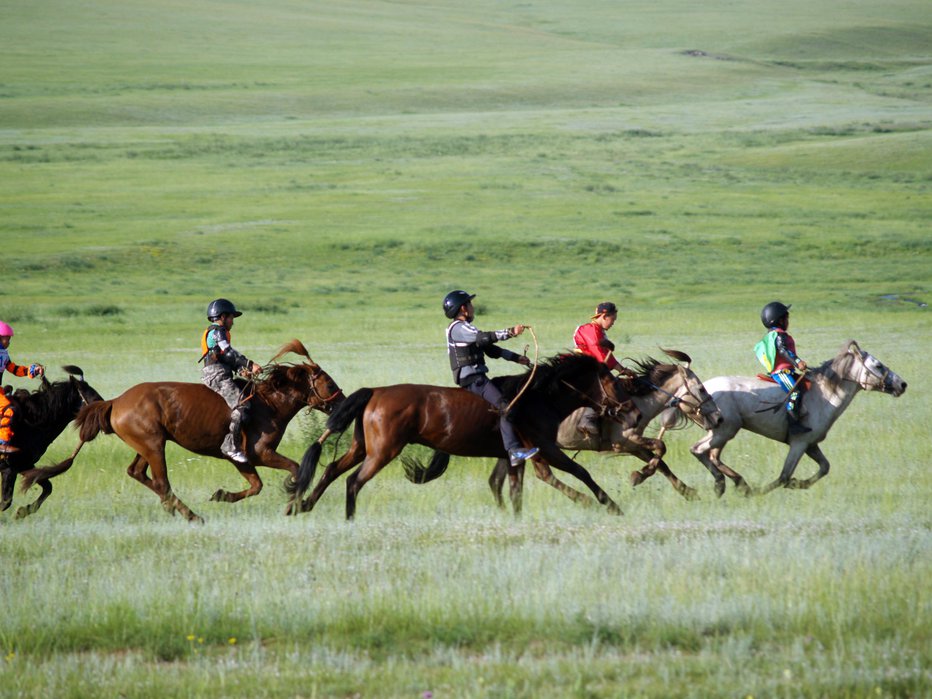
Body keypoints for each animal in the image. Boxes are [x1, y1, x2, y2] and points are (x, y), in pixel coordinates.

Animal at [0, 366, 103, 520]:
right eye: (95, 399)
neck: (31, 422)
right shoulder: (10, 467)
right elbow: (5, 502)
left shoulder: (25, 465)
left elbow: (48, 487)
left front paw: (22, 511)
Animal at [20, 340, 344, 524]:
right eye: (328, 383)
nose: (343, 403)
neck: (269, 404)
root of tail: (115, 402)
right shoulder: (258, 454)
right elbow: (293, 468)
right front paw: (294, 497)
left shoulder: (241, 460)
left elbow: (256, 486)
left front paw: (221, 495)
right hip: (154, 446)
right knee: (162, 482)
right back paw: (191, 515)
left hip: (147, 445)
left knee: (137, 473)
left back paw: (173, 509)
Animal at [290, 356, 640, 520]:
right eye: (613, 381)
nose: (634, 412)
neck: (541, 397)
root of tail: (374, 391)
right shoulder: (545, 450)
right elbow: (580, 472)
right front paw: (610, 506)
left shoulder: (512, 455)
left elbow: (508, 489)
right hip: (382, 452)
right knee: (353, 481)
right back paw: (348, 519)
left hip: (362, 447)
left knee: (331, 470)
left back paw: (302, 505)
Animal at [476, 348, 724, 508]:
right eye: (701, 388)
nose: (719, 418)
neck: (640, 401)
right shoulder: (626, 440)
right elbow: (661, 447)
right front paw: (638, 476)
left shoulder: (633, 445)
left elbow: (661, 462)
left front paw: (687, 492)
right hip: (542, 446)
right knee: (543, 473)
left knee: (500, 478)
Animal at [676, 340, 904, 498]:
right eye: (878, 366)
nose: (902, 384)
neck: (823, 395)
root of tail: (699, 391)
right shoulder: (799, 443)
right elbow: (784, 476)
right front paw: (766, 490)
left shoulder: (811, 445)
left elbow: (824, 467)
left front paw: (799, 484)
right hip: (724, 431)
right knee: (698, 450)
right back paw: (724, 484)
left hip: (723, 433)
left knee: (713, 456)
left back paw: (738, 483)